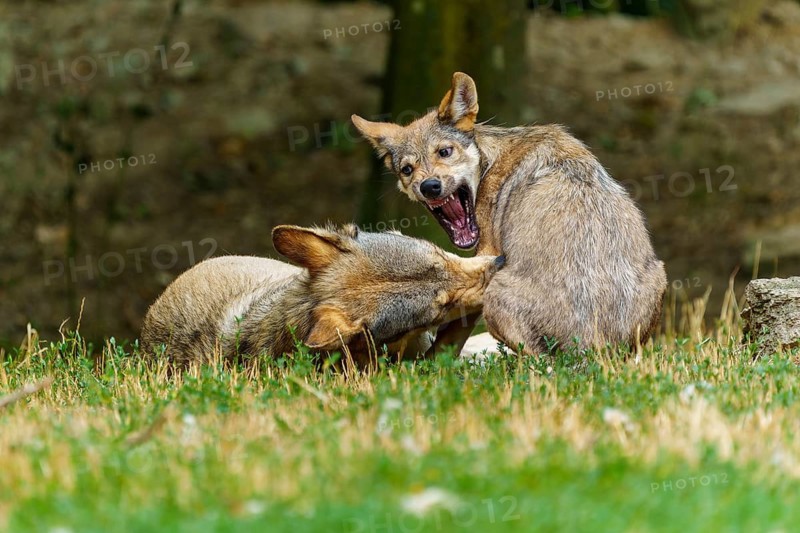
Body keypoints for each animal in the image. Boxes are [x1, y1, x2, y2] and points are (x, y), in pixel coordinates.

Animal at [352, 72, 667, 354]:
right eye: (407, 169)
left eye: (444, 152)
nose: (429, 186)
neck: (490, 161)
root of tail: (593, 347)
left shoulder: (486, 257)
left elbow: (448, 336)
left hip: (495, 295)